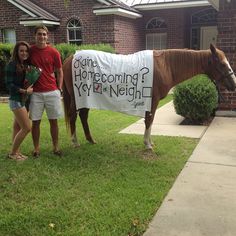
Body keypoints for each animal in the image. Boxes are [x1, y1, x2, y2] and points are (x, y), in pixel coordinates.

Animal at [62, 44, 236, 149]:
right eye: (222, 64)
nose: (234, 84)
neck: (166, 66)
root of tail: (71, 57)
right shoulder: (153, 101)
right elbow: (149, 120)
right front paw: (148, 144)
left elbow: (150, 121)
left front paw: (149, 142)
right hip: (77, 97)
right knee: (73, 116)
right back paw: (75, 142)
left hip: (85, 99)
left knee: (83, 116)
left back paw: (90, 140)